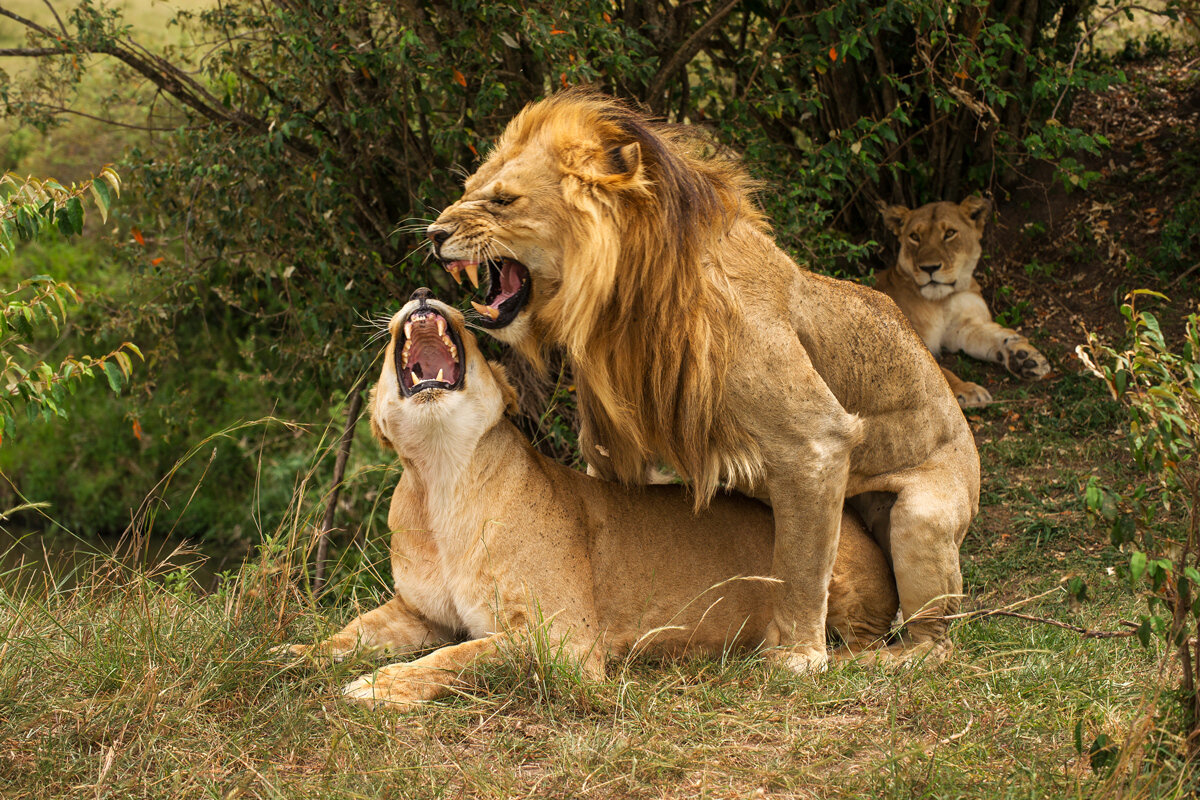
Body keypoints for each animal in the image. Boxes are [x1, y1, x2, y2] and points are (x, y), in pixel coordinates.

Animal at [285, 292, 897, 705]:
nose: (419, 294)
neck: (443, 479)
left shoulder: (565, 641)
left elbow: (460, 656)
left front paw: (375, 687)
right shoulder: (417, 612)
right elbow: (353, 633)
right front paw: (293, 655)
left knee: (858, 636)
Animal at [427, 90, 979, 671]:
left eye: (503, 201)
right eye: (467, 191)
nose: (433, 235)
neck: (626, 304)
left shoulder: (815, 441)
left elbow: (802, 568)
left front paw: (797, 658)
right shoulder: (610, 447)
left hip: (923, 517)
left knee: (934, 639)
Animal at [873, 194, 1051, 407]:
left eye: (949, 233)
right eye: (914, 237)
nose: (929, 268)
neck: (941, 300)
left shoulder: (964, 326)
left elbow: (996, 335)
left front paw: (1024, 357)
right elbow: (939, 370)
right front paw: (967, 391)